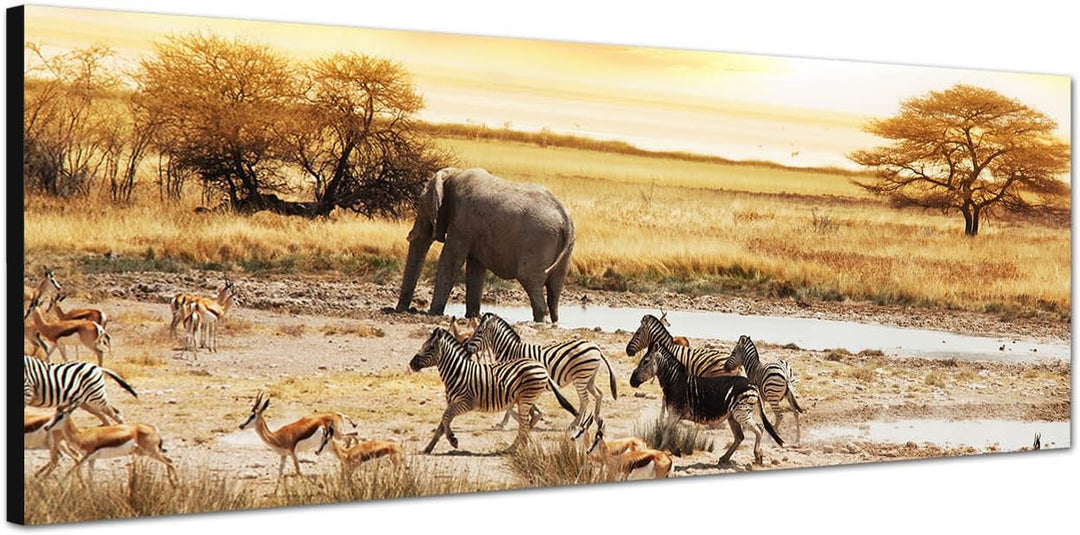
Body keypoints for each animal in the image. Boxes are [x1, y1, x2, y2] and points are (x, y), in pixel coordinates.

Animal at [394, 167, 575, 323]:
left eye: (421, 205)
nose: (402, 310)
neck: (454, 174)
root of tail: (565, 219)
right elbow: (475, 268)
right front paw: (472, 316)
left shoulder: (462, 220)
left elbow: (450, 261)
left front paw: (433, 313)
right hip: (564, 248)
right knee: (555, 289)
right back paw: (553, 321)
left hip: (538, 241)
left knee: (529, 279)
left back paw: (540, 321)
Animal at [409, 328, 578, 454]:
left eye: (430, 348)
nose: (411, 364)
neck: (458, 371)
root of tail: (541, 366)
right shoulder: (451, 403)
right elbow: (441, 425)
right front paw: (428, 448)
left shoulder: (466, 403)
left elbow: (445, 418)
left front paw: (453, 440)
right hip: (525, 399)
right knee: (531, 419)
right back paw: (521, 445)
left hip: (525, 399)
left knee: (524, 425)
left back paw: (512, 448)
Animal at [463, 312, 617, 430]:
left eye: (479, 332)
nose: (465, 347)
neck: (511, 351)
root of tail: (596, 347)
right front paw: (531, 417)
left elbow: (511, 405)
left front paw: (507, 422)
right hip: (589, 377)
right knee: (599, 394)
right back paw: (597, 418)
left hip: (581, 377)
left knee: (585, 400)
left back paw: (575, 423)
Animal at [629, 340, 783, 465]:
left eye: (645, 361)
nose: (632, 381)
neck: (675, 381)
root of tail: (753, 384)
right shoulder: (675, 414)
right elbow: (668, 432)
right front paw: (675, 450)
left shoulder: (675, 412)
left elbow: (665, 433)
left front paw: (659, 453)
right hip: (733, 416)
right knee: (740, 436)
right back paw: (724, 458)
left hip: (741, 413)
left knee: (759, 429)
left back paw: (757, 456)